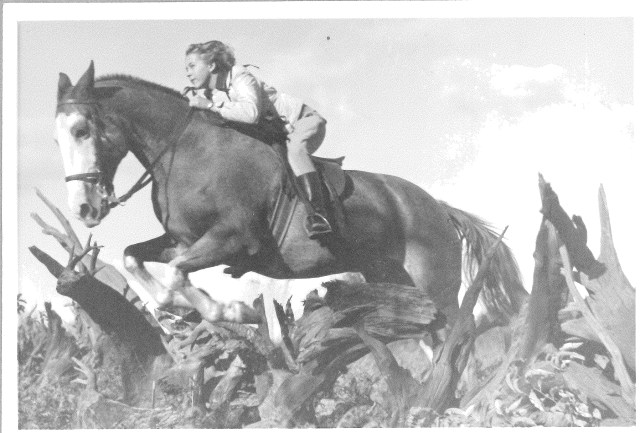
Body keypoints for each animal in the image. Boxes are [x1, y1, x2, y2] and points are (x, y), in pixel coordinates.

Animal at [54, 62, 527, 343]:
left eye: (81, 130)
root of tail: (437, 207)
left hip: (437, 287)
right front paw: (179, 312)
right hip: (399, 286)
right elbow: (135, 257)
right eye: (58, 136)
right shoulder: (184, 241)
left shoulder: (233, 240)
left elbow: (175, 276)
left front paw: (229, 309)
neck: (186, 149)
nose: (83, 209)